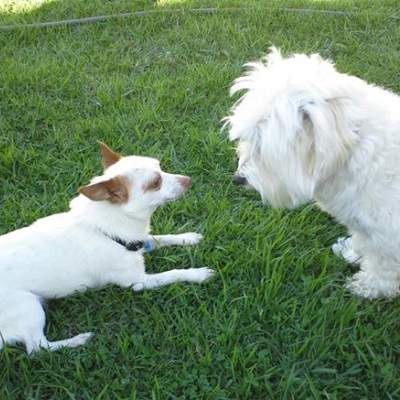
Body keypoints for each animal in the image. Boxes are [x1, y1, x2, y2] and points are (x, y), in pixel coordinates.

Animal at [0, 141, 214, 354]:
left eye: (160, 166)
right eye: (155, 183)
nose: (188, 179)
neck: (104, 228)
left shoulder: (141, 241)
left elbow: (161, 238)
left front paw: (188, 238)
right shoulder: (138, 281)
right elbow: (173, 273)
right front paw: (198, 274)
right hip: (29, 307)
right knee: (37, 347)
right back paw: (78, 340)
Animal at [225, 47, 400, 298]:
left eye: (262, 147)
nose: (238, 179)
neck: (353, 149)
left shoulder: (388, 235)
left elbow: (382, 266)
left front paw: (369, 287)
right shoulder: (362, 222)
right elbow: (362, 239)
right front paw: (352, 252)